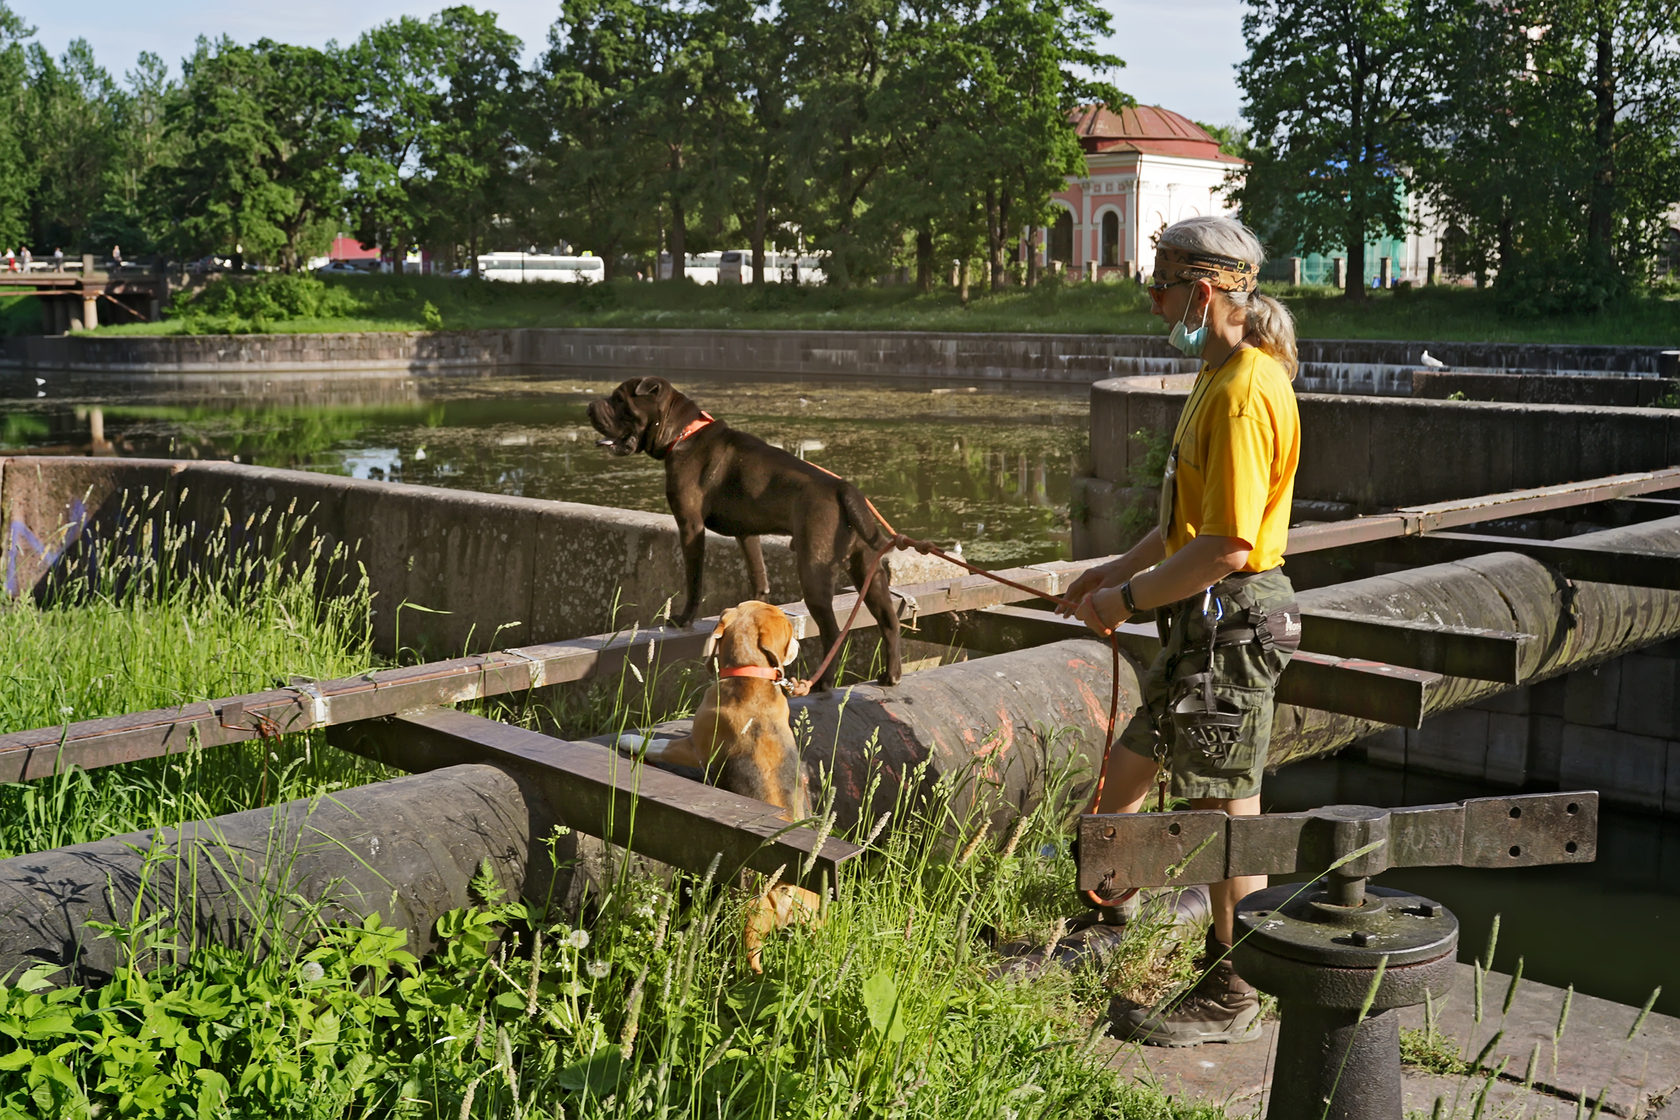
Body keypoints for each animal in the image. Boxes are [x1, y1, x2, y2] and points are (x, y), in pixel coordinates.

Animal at [591, 379, 907, 691]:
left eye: (619, 400)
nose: (591, 406)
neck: (682, 432)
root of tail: (845, 489)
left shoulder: (690, 526)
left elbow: (695, 580)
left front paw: (683, 618)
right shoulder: (747, 533)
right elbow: (758, 575)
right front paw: (752, 608)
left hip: (814, 573)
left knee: (832, 630)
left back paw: (823, 682)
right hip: (868, 571)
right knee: (889, 621)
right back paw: (890, 674)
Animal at [624, 604, 819, 973]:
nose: (800, 641)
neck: (750, 675)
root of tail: (784, 887)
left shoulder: (693, 747)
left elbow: (658, 745)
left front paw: (629, 740)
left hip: (748, 923)